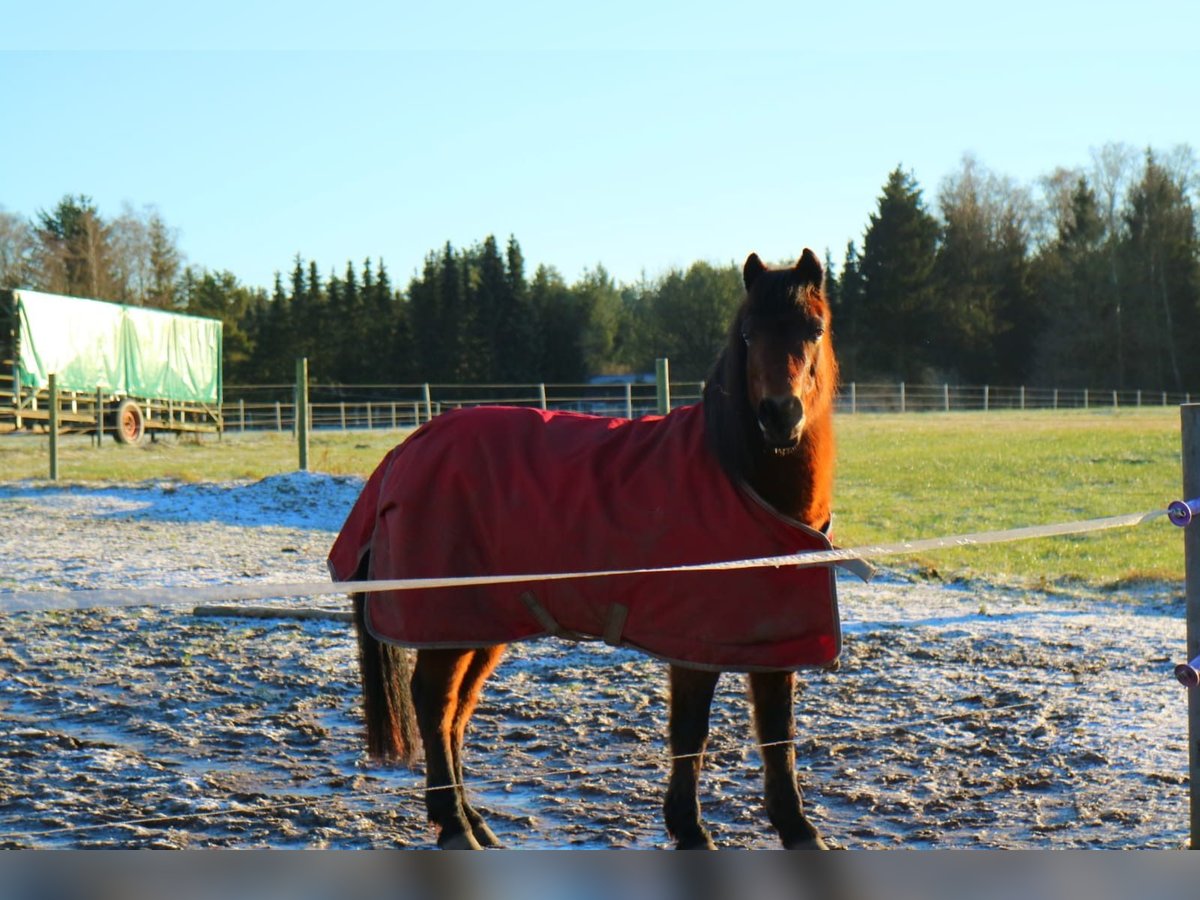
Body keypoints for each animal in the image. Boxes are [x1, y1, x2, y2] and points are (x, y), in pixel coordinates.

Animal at [338, 248, 840, 854]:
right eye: (748, 334)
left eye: (814, 328)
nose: (779, 414)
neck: (739, 478)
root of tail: (405, 449)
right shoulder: (695, 640)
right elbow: (691, 731)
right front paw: (690, 829)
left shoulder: (769, 637)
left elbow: (777, 732)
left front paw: (797, 828)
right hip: (450, 619)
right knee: (434, 702)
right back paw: (455, 826)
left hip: (481, 623)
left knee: (455, 710)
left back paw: (473, 821)